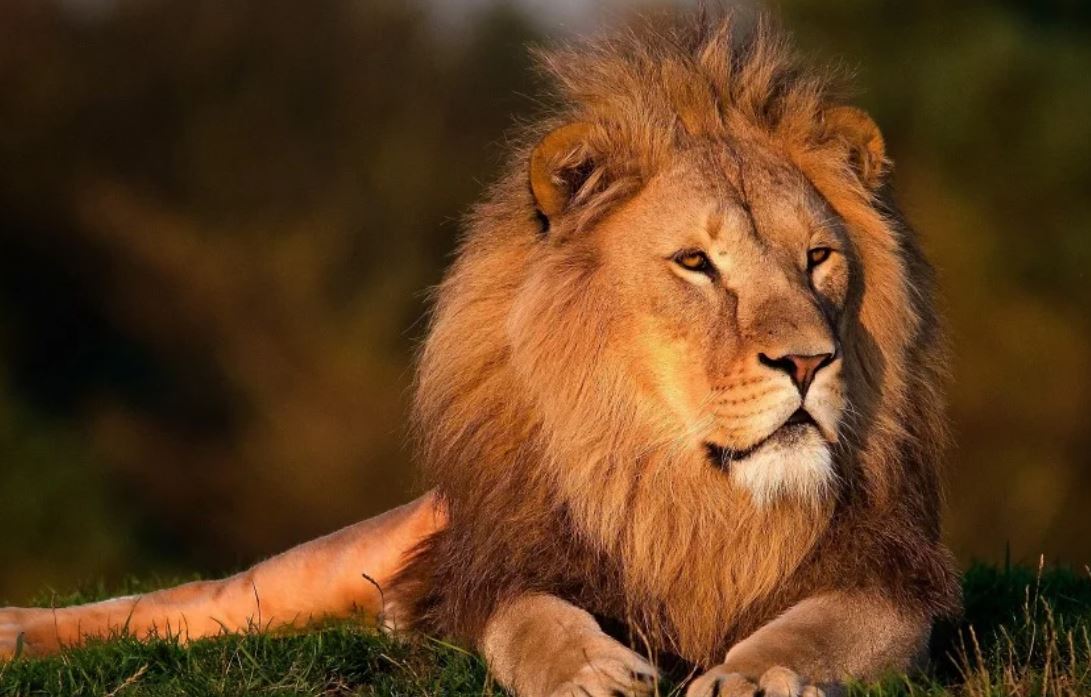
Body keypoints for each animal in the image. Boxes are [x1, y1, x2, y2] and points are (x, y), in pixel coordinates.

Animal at [0, 12, 960, 697]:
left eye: (818, 257)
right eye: (695, 263)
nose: (807, 362)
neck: (686, 492)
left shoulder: (890, 578)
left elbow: (822, 625)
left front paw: (757, 674)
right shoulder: (498, 564)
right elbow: (528, 620)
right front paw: (589, 670)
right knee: (189, 603)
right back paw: (16, 627)